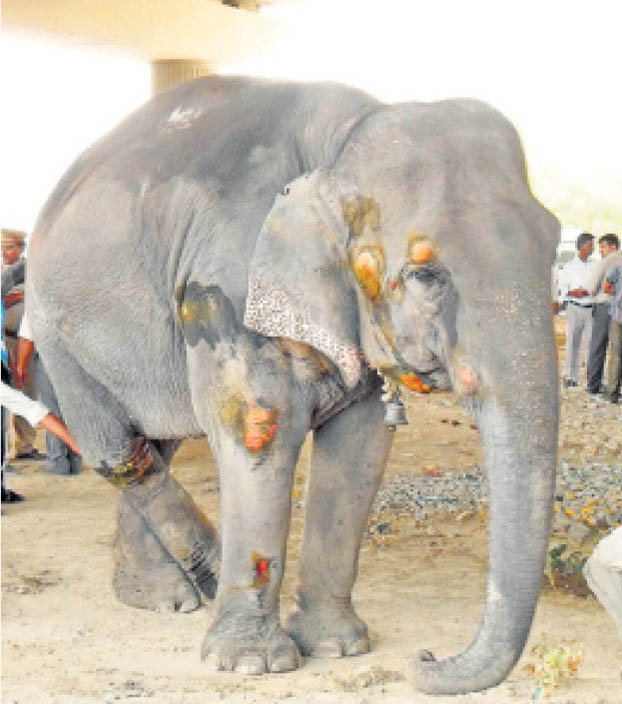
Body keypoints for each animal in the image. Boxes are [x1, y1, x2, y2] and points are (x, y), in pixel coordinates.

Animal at [26, 76, 559, 695]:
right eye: (426, 275)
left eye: (554, 246)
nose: (425, 657)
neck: (343, 140)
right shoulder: (227, 287)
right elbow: (257, 430)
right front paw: (251, 664)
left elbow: (359, 451)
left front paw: (338, 647)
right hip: (55, 329)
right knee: (119, 452)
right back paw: (200, 579)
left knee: (157, 442)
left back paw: (163, 600)